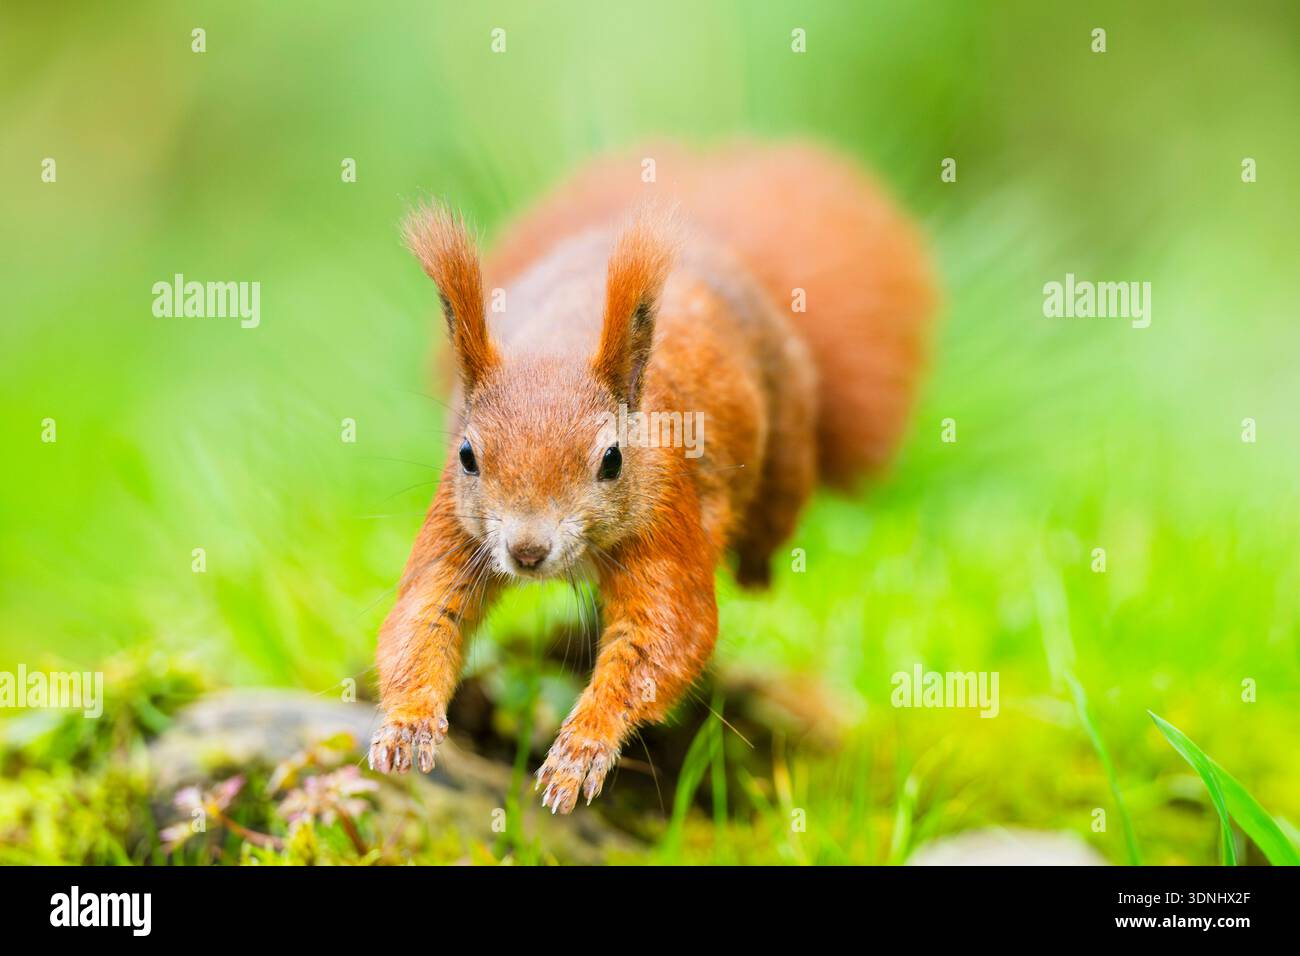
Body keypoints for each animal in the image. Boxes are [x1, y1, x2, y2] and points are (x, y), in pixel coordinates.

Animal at [369, 142, 935, 813]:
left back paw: (756, 569)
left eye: (612, 460)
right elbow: (422, 617)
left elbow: (666, 634)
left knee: (773, 520)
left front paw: (582, 748)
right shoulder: (456, 525)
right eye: (467, 455)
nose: (528, 551)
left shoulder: (667, 514)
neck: (558, 347)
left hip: (789, 444)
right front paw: (406, 724)